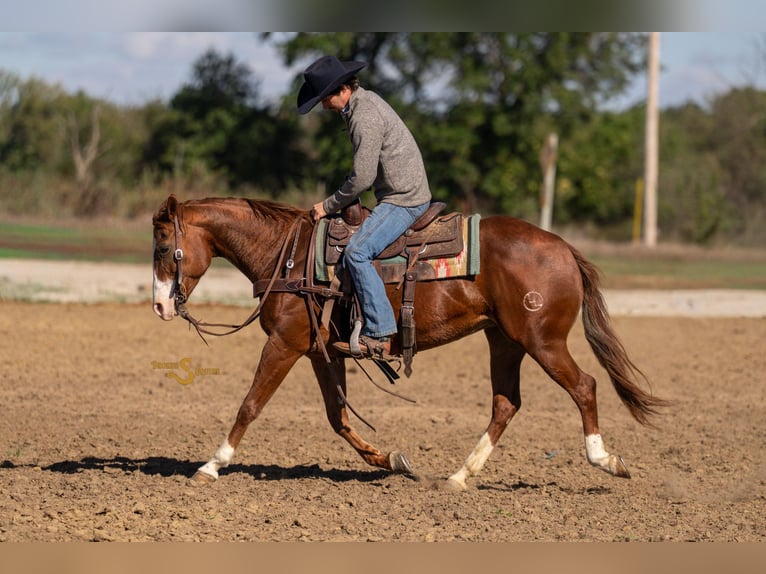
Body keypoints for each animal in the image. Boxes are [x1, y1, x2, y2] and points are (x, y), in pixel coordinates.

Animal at [151, 194, 666, 490]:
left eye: (161, 245)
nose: (159, 306)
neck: (288, 255)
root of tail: (565, 250)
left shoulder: (284, 344)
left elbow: (250, 404)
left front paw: (212, 464)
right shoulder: (320, 351)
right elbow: (338, 418)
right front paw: (392, 460)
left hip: (542, 341)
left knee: (583, 386)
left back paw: (605, 460)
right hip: (505, 341)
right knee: (506, 403)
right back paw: (458, 477)